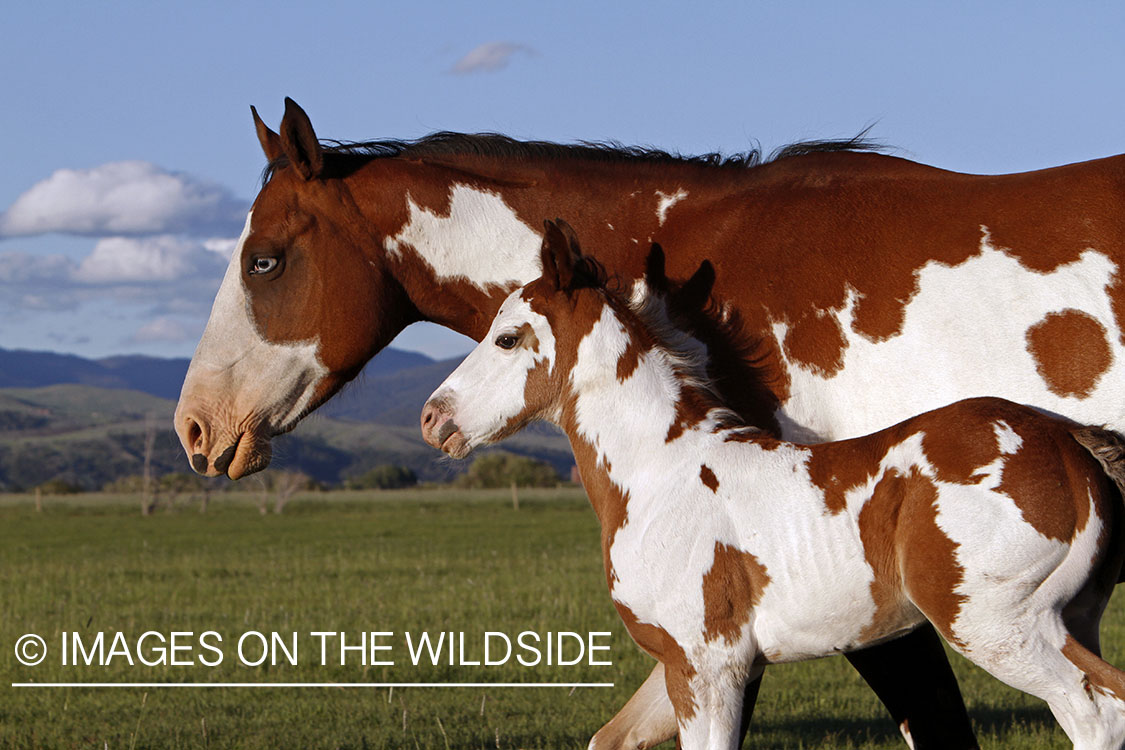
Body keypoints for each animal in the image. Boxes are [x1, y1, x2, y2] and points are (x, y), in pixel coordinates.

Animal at [421, 220, 1125, 750]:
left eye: (507, 337)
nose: (434, 418)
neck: (661, 475)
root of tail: (1067, 445)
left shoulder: (710, 668)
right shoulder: (679, 665)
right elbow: (608, 739)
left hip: (999, 624)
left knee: (1095, 713)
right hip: (1071, 618)